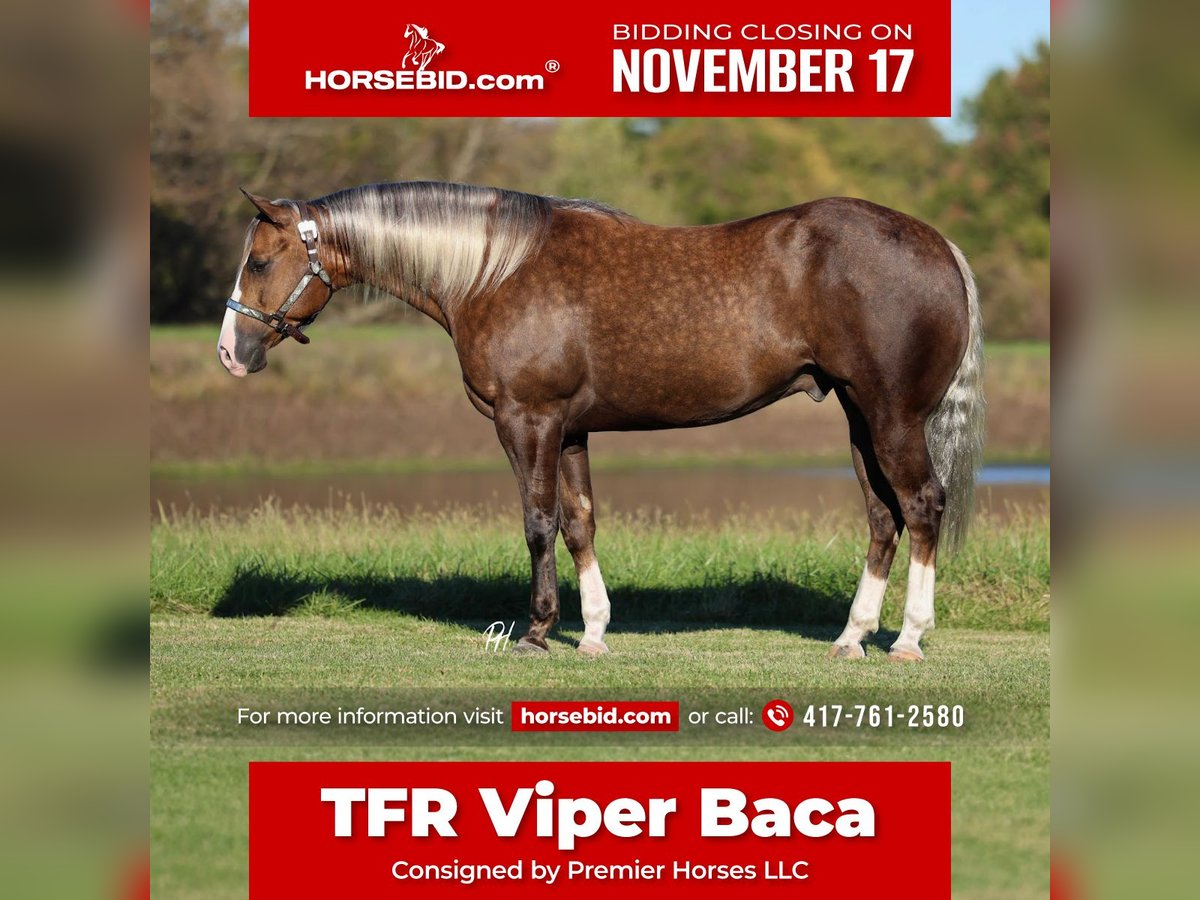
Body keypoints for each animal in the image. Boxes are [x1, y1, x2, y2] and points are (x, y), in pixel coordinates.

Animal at [218, 181, 985, 661]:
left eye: (260, 260)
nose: (231, 352)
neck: (495, 270)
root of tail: (938, 244)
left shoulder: (526, 420)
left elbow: (538, 522)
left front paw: (536, 632)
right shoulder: (571, 430)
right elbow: (580, 523)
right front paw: (591, 632)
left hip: (893, 416)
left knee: (921, 506)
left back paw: (908, 640)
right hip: (859, 417)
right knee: (883, 517)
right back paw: (852, 637)